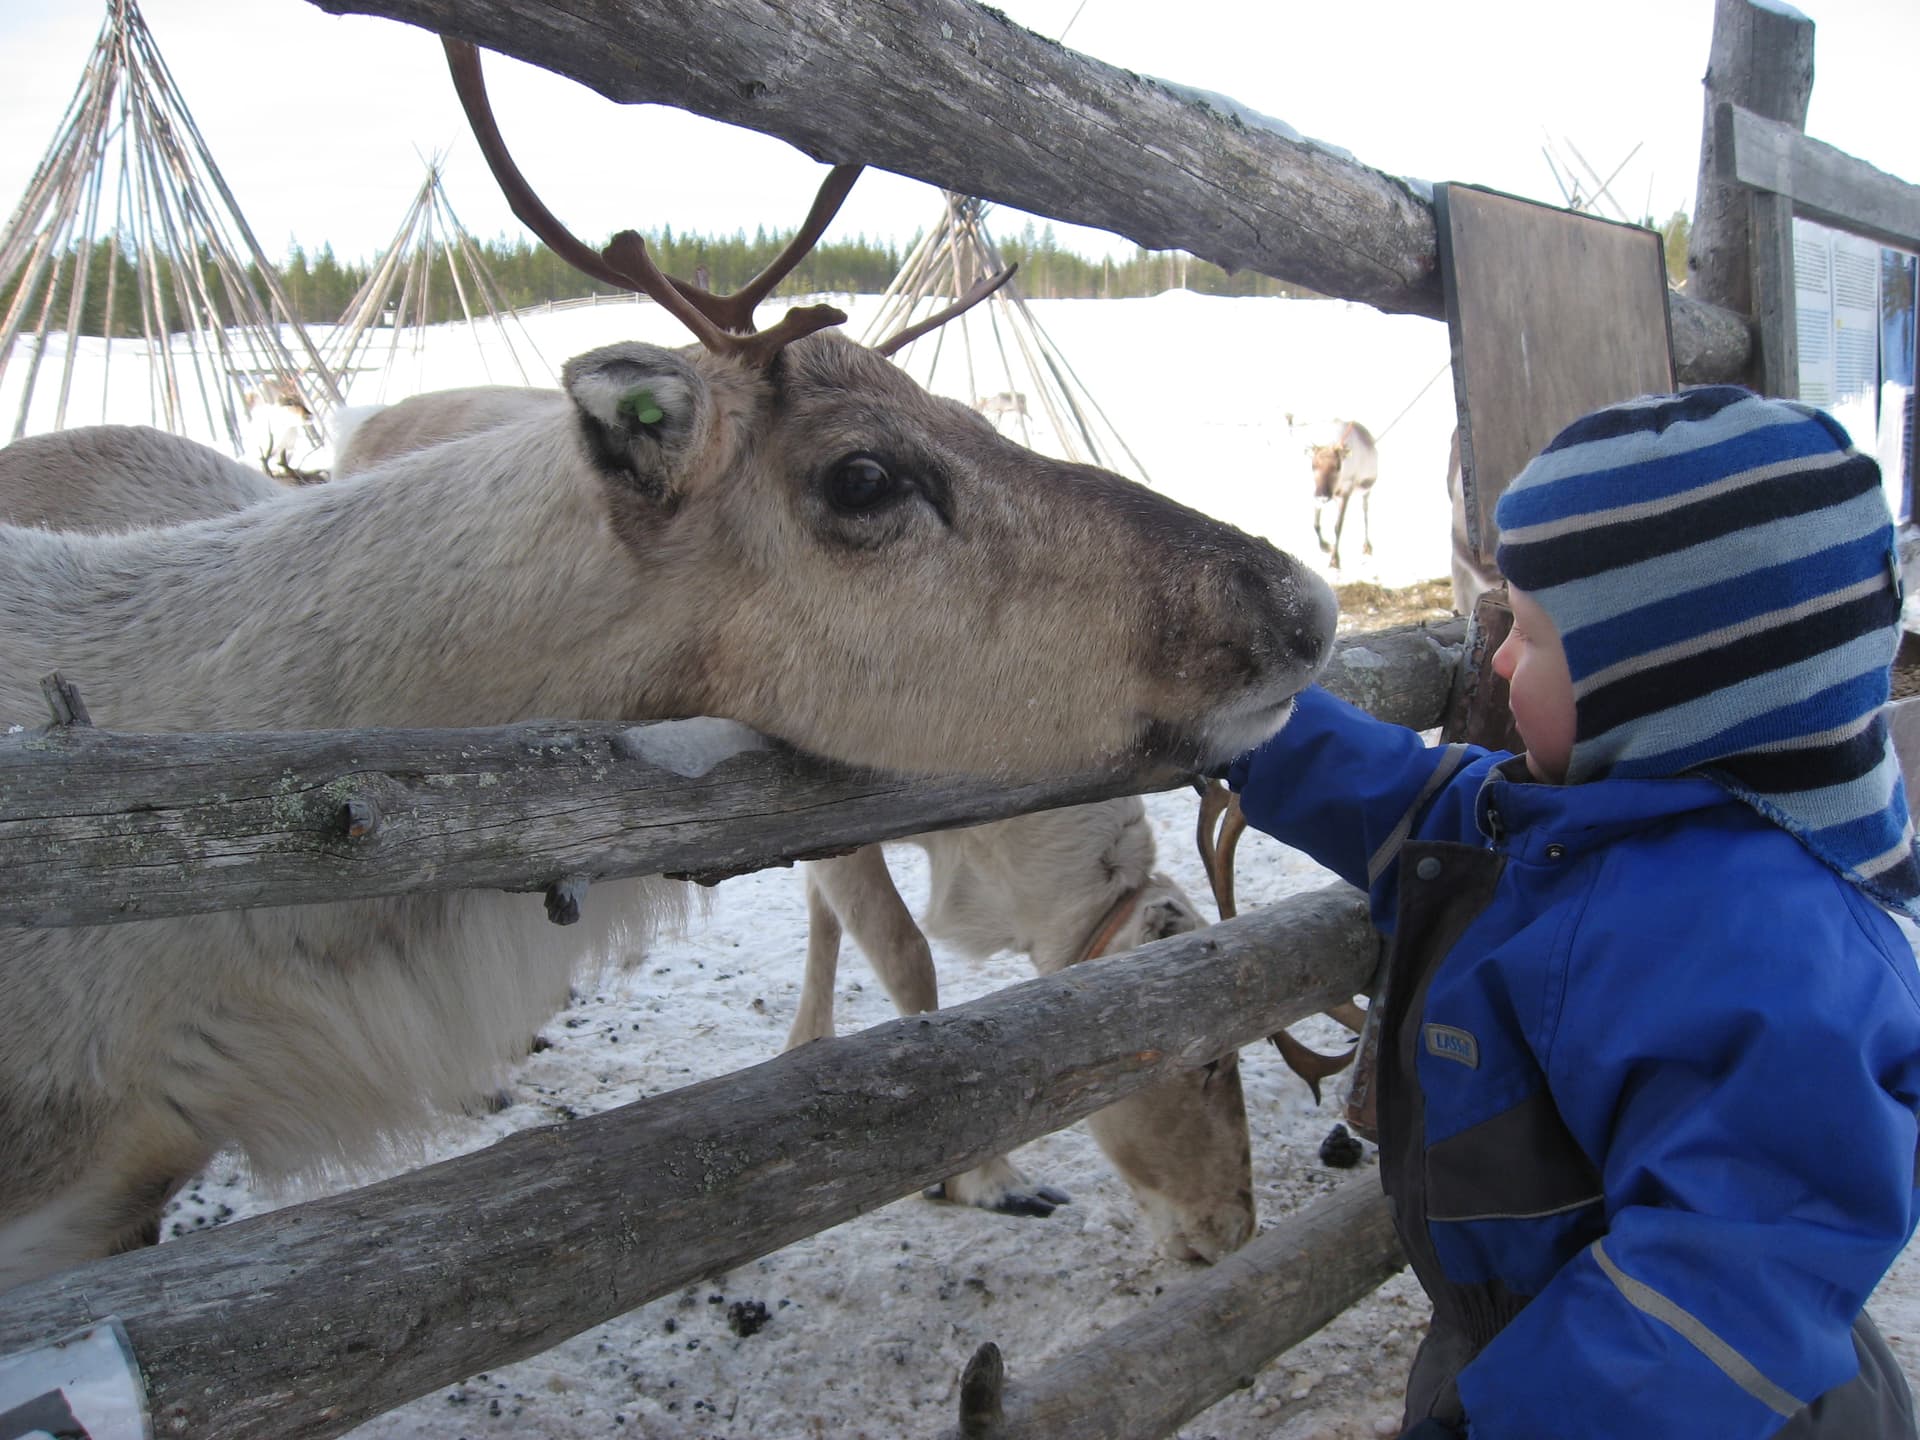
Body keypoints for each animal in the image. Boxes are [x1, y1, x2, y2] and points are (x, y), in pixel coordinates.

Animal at [790, 798, 1255, 1264]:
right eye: (1210, 1060)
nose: (1239, 1230)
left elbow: (823, 909)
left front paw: (804, 1048)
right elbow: (906, 952)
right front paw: (987, 1183)